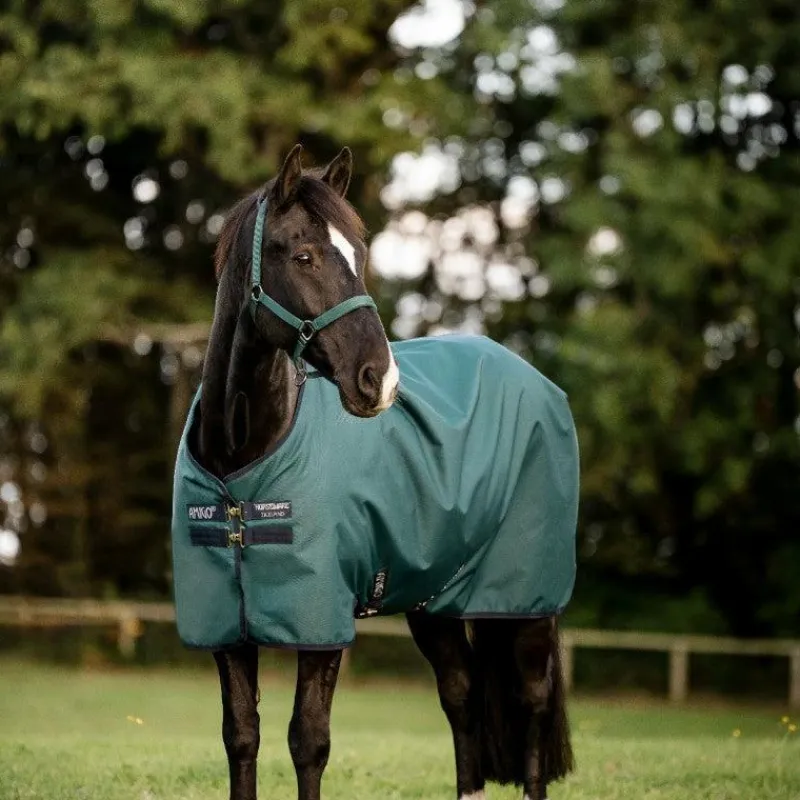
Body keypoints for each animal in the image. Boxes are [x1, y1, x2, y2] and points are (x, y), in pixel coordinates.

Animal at [174, 144, 576, 800]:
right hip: (435, 602)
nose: (379, 381)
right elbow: (242, 737)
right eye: (304, 255)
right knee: (461, 695)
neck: (241, 467)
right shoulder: (225, 629)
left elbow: (308, 741)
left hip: (525, 600)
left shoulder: (322, 621)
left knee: (532, 702)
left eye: (359, 258)